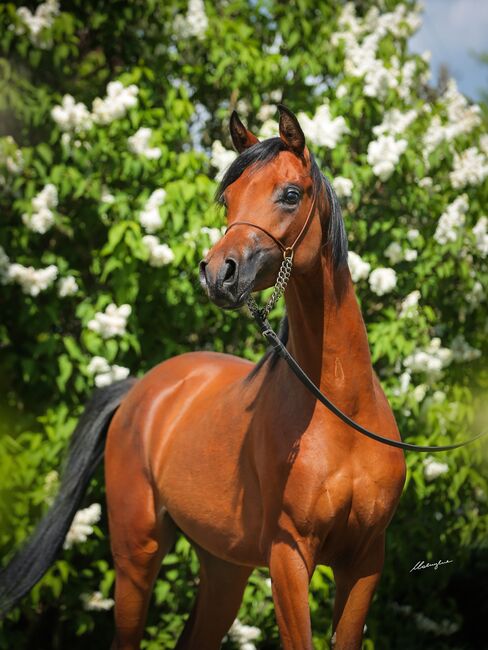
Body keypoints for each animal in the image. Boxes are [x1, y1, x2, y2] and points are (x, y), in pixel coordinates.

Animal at [0, 105, 406, 649]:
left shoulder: (364, 561)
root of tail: (141, 391)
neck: (341, 413)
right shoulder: (289, 556)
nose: (218, 273)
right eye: (229, 198)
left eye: (290, 194)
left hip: (224, 567)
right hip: (138, 555)